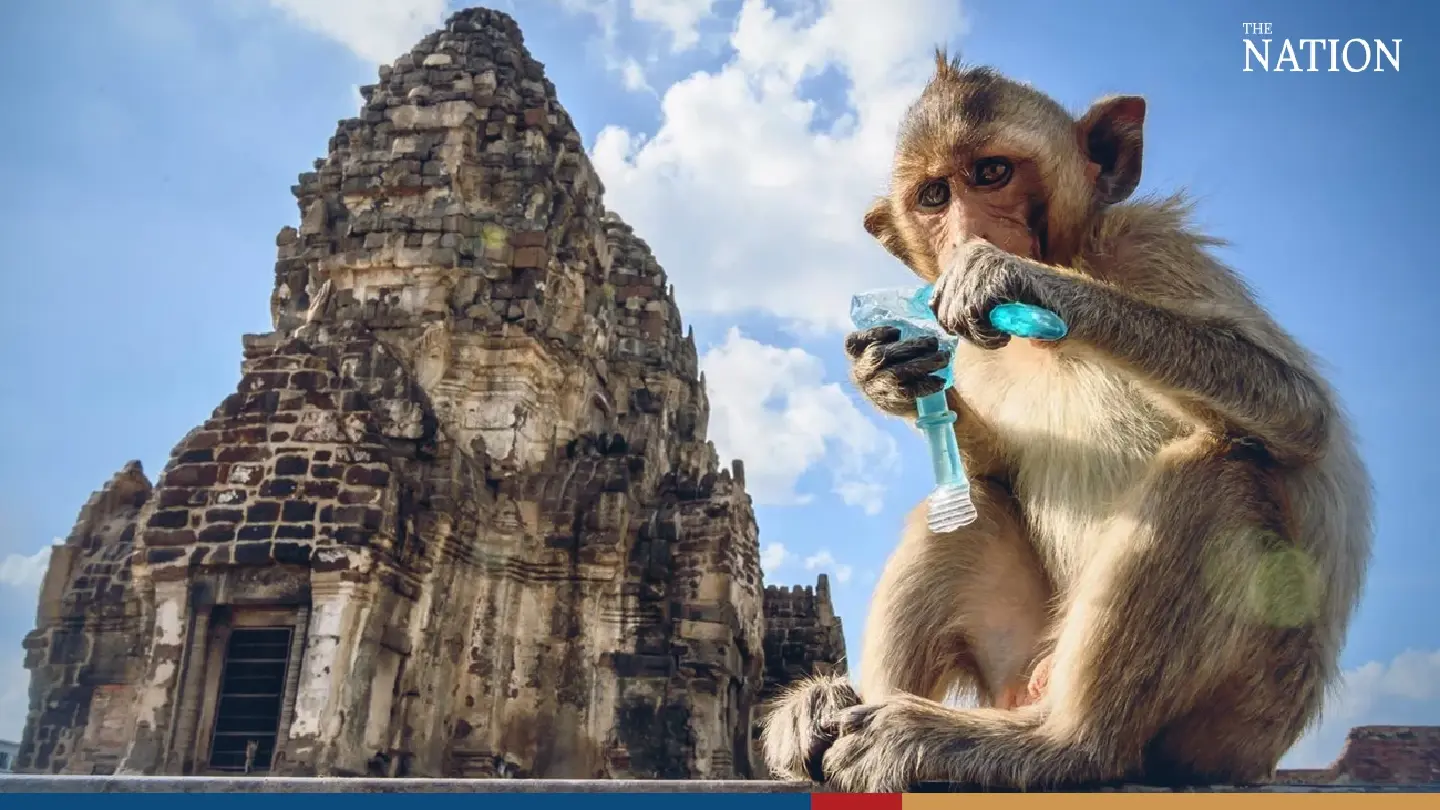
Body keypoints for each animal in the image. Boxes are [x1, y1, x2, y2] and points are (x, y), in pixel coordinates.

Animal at [760, 52, 1372, 792]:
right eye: (934, 196)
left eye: (991, 173)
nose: (966, 232)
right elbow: (990, 468)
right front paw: (888, 373)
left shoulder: (1152, 247)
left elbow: (1299, 413)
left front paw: (1015, 278)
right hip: (1020, 665)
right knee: (975, 506)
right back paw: (832, 716)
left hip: (1240, 713)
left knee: (1221, 471)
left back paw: (1061, 745)